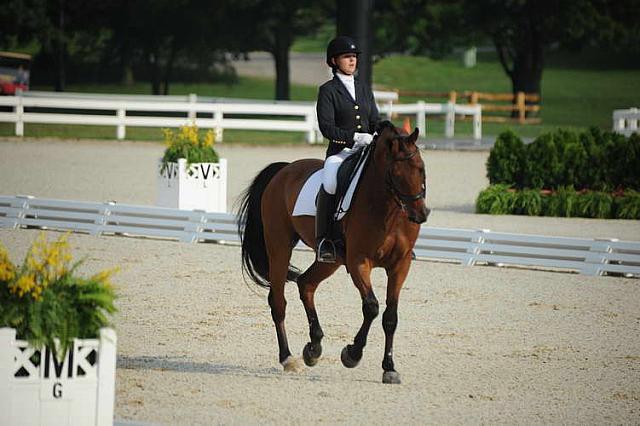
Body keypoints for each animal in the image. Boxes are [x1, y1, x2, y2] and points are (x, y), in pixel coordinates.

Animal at [236, 121, 430, 384]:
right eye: (396, 173)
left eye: (421, 169)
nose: (420, 214)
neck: (387, 209)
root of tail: (284, 170)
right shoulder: (359, 261)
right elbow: (371, 307)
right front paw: (352, 354)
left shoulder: (400, 265)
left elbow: (391, 317)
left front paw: (389, 368)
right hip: (279, 247)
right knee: (278, 301)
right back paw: (288, 358)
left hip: (330, 260)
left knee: (306, 284)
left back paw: (313, 348)